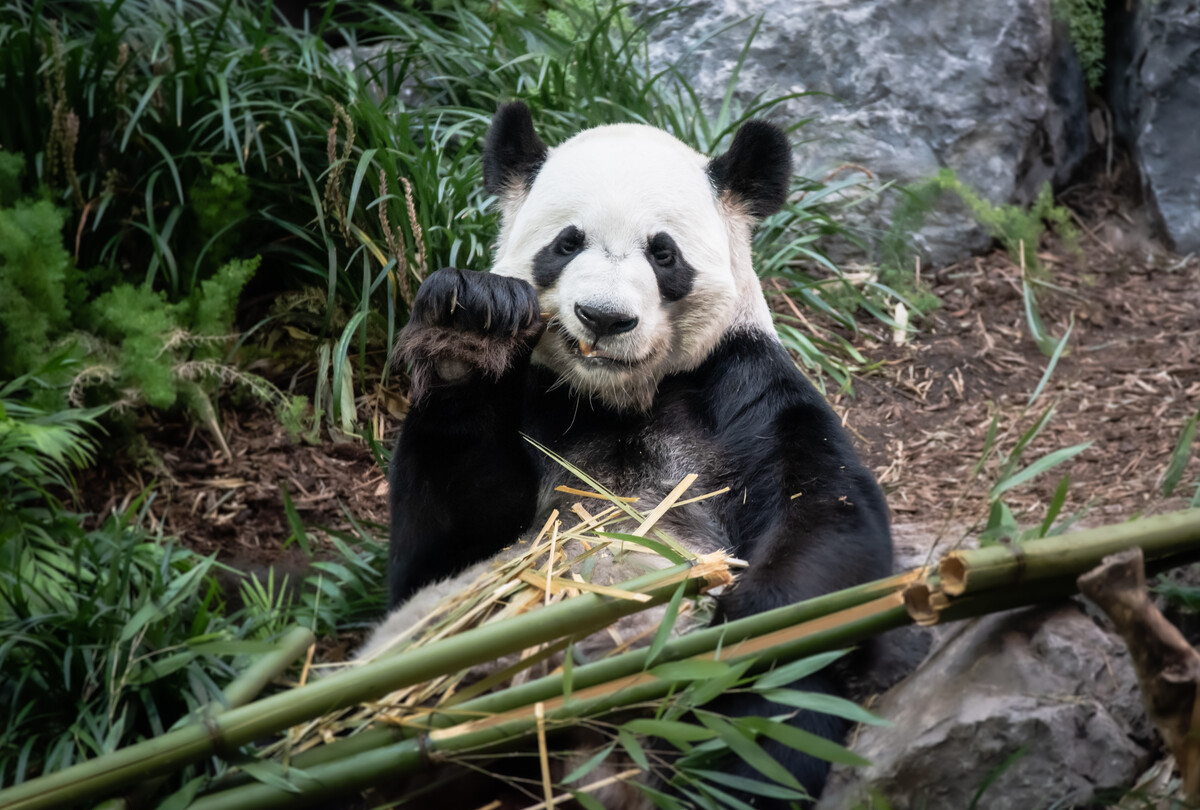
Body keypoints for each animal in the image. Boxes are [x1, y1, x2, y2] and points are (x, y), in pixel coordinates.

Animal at [379, 104, 897, 806]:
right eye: (566, 243)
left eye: (663, 252)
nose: (603, 317)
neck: (616, 397)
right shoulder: (538, 404)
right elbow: (436, 551)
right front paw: (469, 327)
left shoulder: (739, 383)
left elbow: (830, 509)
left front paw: (743, 617)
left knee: (778, 718)